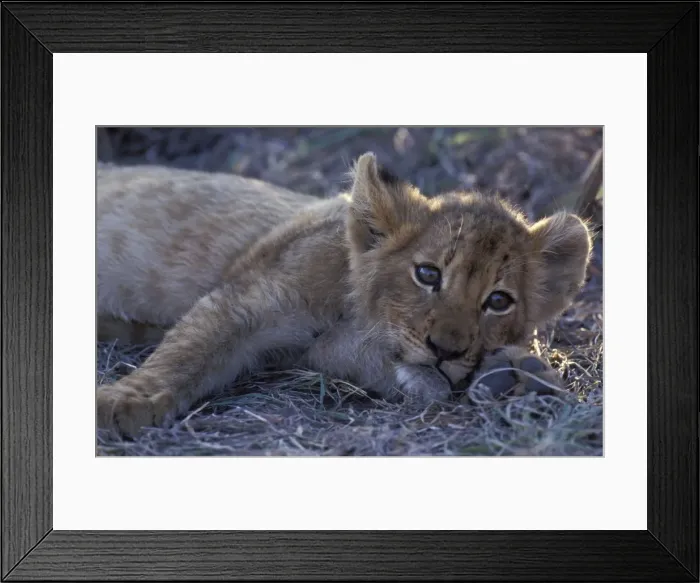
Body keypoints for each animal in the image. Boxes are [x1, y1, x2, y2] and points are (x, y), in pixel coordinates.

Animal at [97, 153, 592, 438]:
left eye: (498, 301)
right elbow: (187, 353)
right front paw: (119, 404)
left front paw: (516, 376)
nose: (446, 351)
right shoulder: (247, 300)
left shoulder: (309, 354)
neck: (352, 313)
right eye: (427, 274)